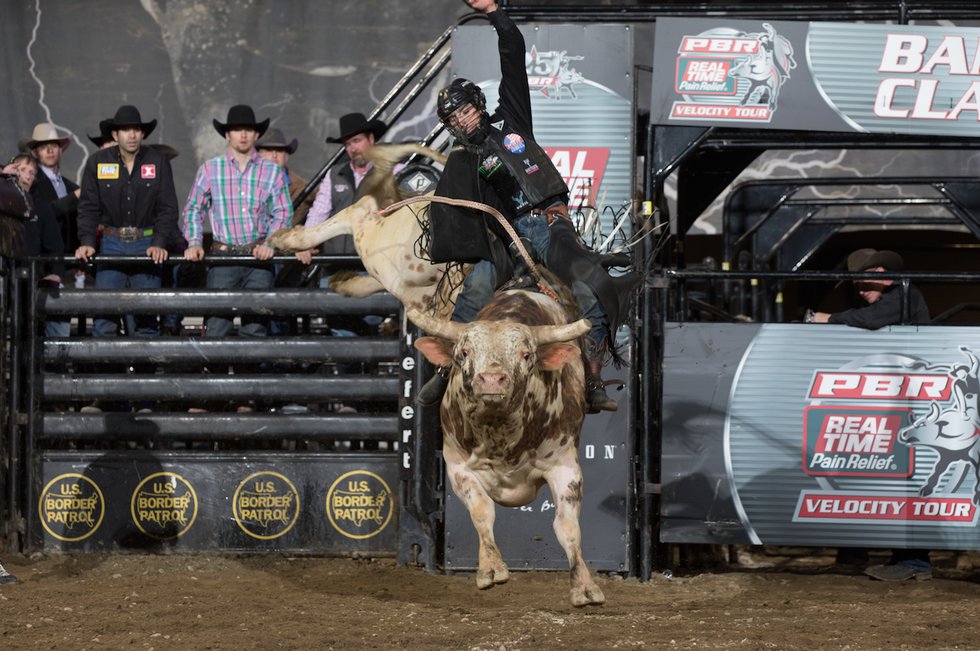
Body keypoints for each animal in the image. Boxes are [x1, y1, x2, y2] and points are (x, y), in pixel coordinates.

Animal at [268, 143, 604, 608]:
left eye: (526, 354)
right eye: (464, 352)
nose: (491, 381)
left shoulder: (565, 465)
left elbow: (566, 527)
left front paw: (585, 587)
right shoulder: (456, 465)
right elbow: (482, 512)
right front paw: (490, 570)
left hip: (401, 274)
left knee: (368, 225)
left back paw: (339, 280)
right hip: (393, 255)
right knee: (363, 211)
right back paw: (287, 239)